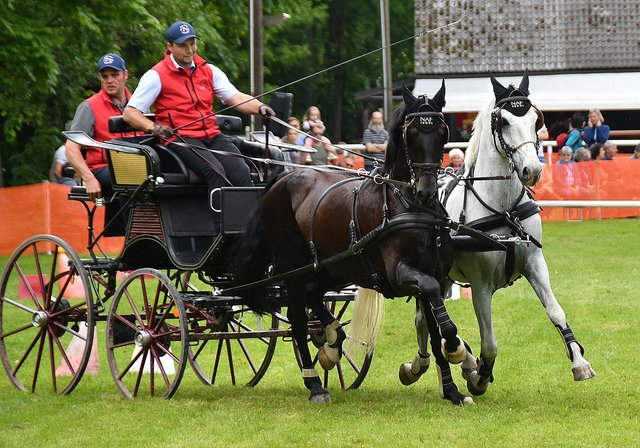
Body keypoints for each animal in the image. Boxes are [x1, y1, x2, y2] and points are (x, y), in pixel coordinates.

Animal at [234, 82, 470, 404]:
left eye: (442, 131)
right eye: (411, 133)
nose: (426, 191)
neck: (408, 205)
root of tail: (280, 180)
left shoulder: (430, 274)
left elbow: (434, 330)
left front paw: (452, 389)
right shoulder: (402, 273)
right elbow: (437, 310)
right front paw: (457, 347)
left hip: (333, 268)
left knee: (314, 296)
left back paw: (332, 343)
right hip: (294, 269)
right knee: (297, 318)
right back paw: (315, 384)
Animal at [398, 72, 596, 398]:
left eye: (535, 119)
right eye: (503, 121)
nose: (532, 170)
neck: (503, 209)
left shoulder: (535, 262)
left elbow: (556, 311)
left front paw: (579, 362)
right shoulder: (480, 284)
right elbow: (489, 343)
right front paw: (479, 375)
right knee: (424, 321)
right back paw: (426, 365)